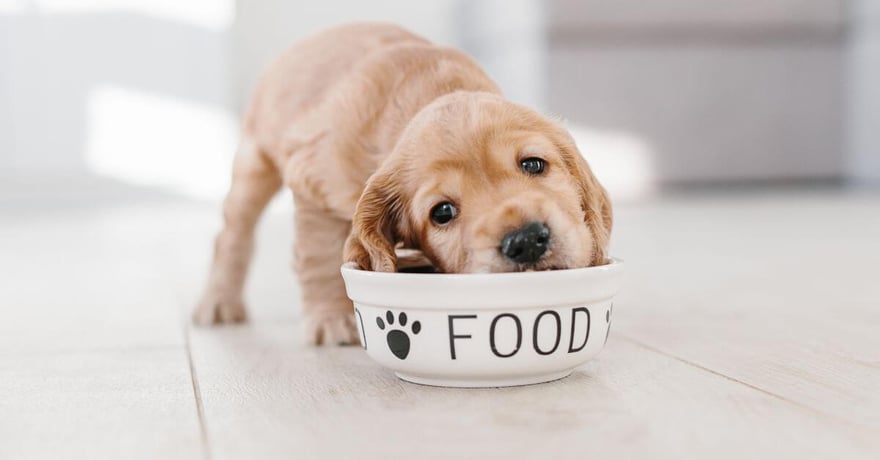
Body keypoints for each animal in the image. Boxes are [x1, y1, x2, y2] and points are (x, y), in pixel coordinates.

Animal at [193, 22, 612, 344]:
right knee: (232, 235)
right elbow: (319, 255)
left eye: (534, 164)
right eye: (442, 212)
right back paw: (219, 302)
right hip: (254, 163)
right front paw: (330, 319)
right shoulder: (313, 182)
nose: (525, 241)